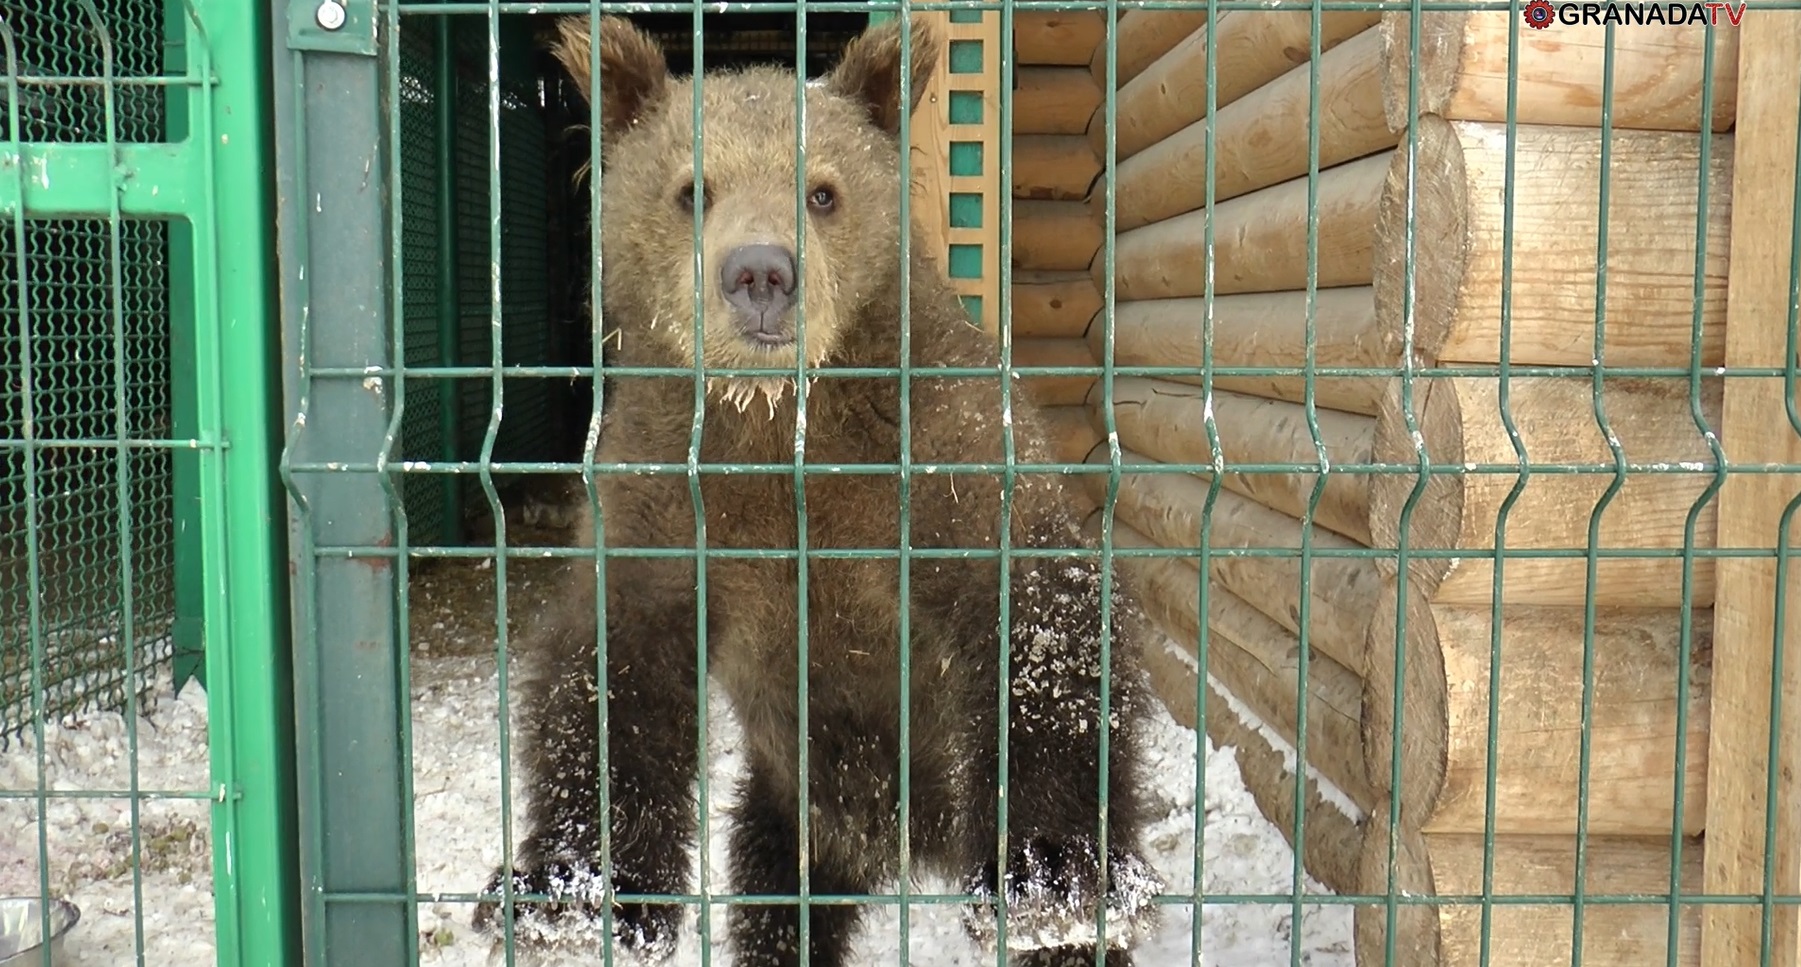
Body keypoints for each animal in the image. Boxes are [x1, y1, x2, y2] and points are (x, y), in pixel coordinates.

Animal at [468, 13, 1167, 965]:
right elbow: (613, 667)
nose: (760, 274)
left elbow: (1034, 623)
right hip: (787, 809)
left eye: (823, 192)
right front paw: (568, 888)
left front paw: (1051, 869)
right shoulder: (667, 489)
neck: (778, 415)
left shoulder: (937, 456)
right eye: (692, 188)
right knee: (778, 902)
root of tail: (900, 842)